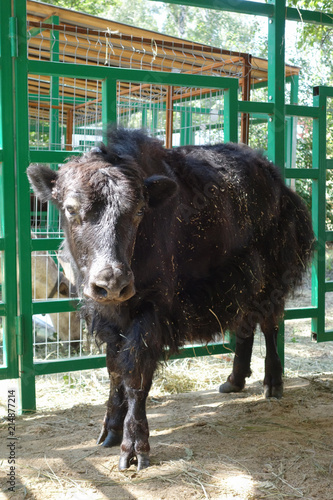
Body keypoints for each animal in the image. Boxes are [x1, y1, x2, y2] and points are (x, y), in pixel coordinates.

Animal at [27, 127, 312, 470]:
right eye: (70, 208)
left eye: (139, 211)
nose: (113, 282)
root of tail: (276, 180)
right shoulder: (108, 317)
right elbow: (114, 369)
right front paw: (109, 432)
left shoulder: (150, 311)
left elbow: (136, 373)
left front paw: (134, 449)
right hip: (241, 281)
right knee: (245, 325)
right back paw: (233, 381)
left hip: (269, 277)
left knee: (270, 323)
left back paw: (273, 384)